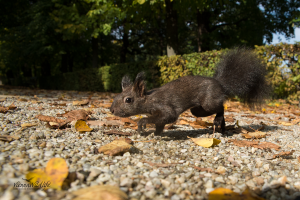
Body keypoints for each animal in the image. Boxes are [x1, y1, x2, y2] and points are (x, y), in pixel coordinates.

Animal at [109, 47, 270, 134]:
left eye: (128, 100)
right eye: (116, 96)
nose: (111, 110)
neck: (149, 99)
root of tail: (220, 83)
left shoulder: (165, 108)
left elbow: (167, 117)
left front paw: (143, 122)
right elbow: (160, 125)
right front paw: (155, 134)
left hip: (208, 102)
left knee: (221, 107)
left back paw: (218, 120)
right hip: (197, 110)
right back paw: (222, 126)